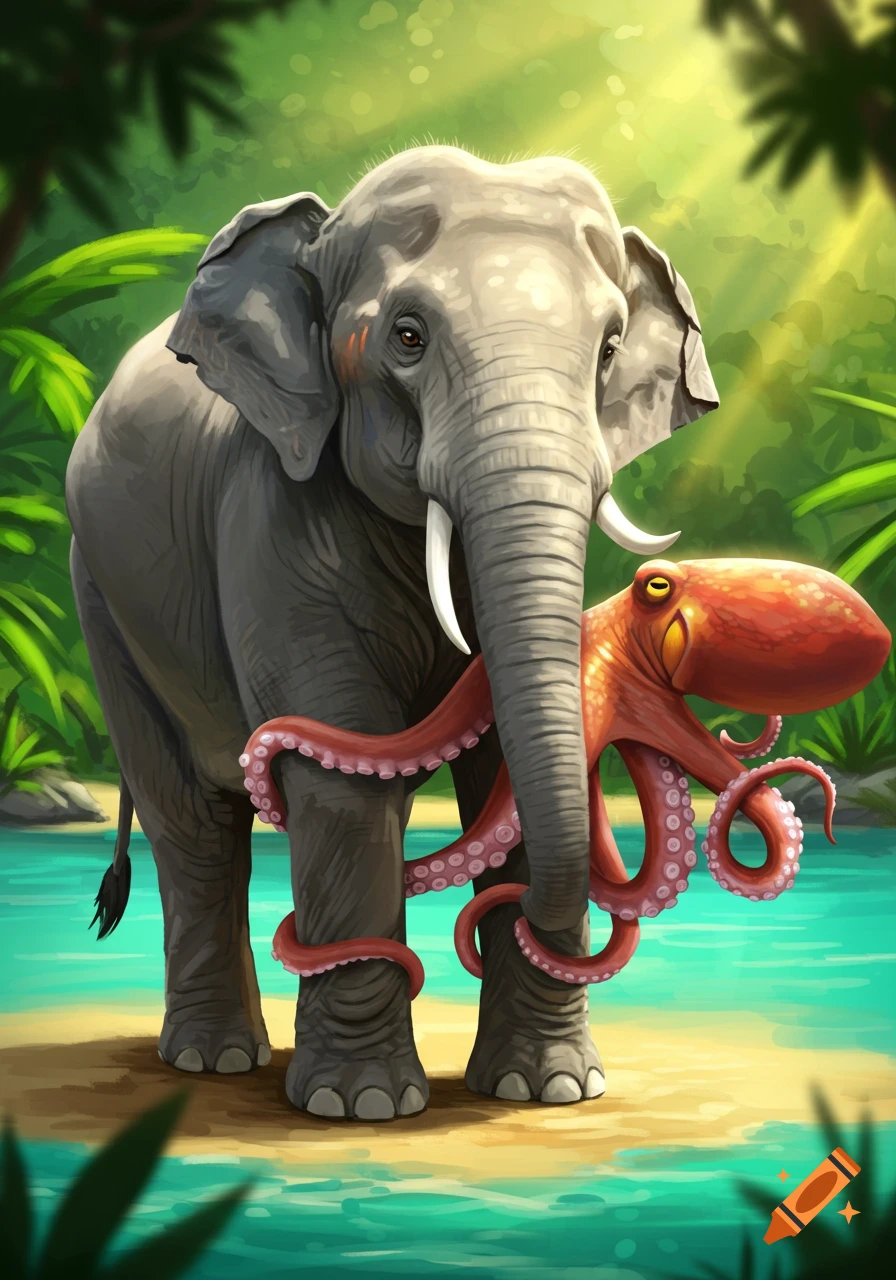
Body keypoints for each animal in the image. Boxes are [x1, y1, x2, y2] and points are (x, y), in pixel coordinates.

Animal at [65, 144, 719, 1119]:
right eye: (407, 338)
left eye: (607, 351)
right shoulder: (273, 512)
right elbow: (339, 773)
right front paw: (362, 1106)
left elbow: (505, 762)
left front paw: (550, 1090)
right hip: (103, 595)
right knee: (191, 819)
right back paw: (214, 1061)